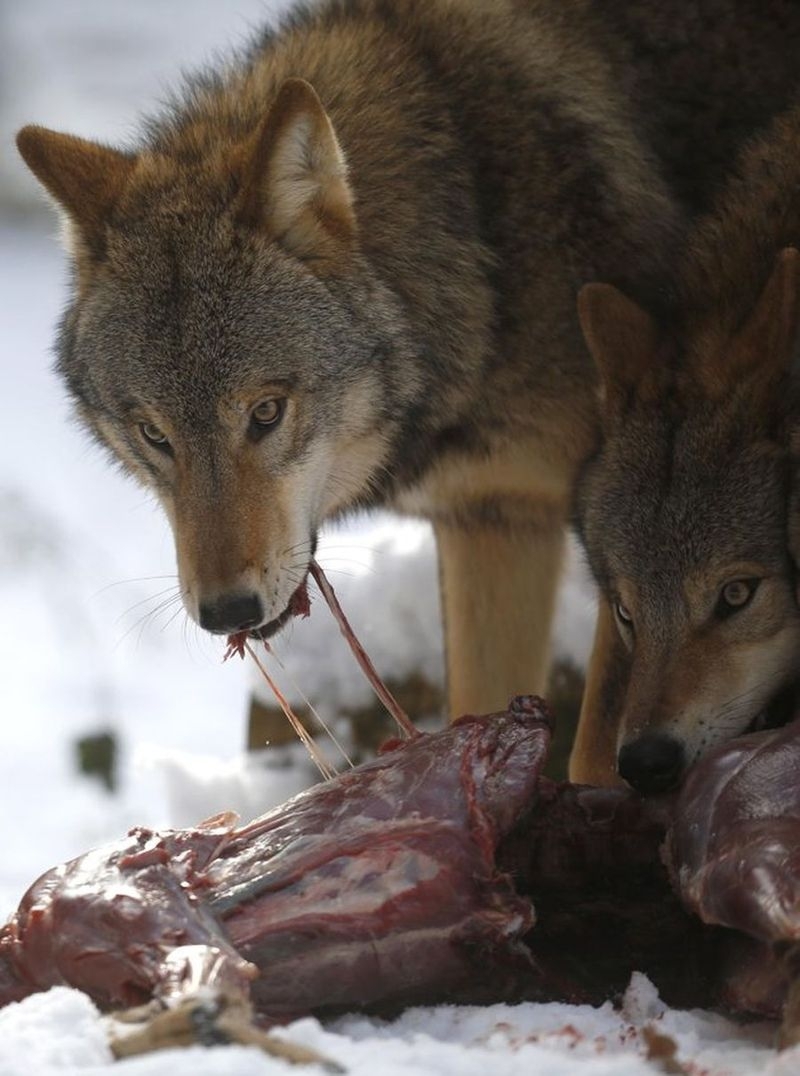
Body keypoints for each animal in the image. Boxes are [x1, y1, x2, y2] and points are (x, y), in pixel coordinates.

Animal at [14, 2, 800, 723]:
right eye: (154, 435)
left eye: (266, 413)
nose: (226, 611)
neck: (482, 235)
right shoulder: (494, 516)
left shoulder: (608, 545)